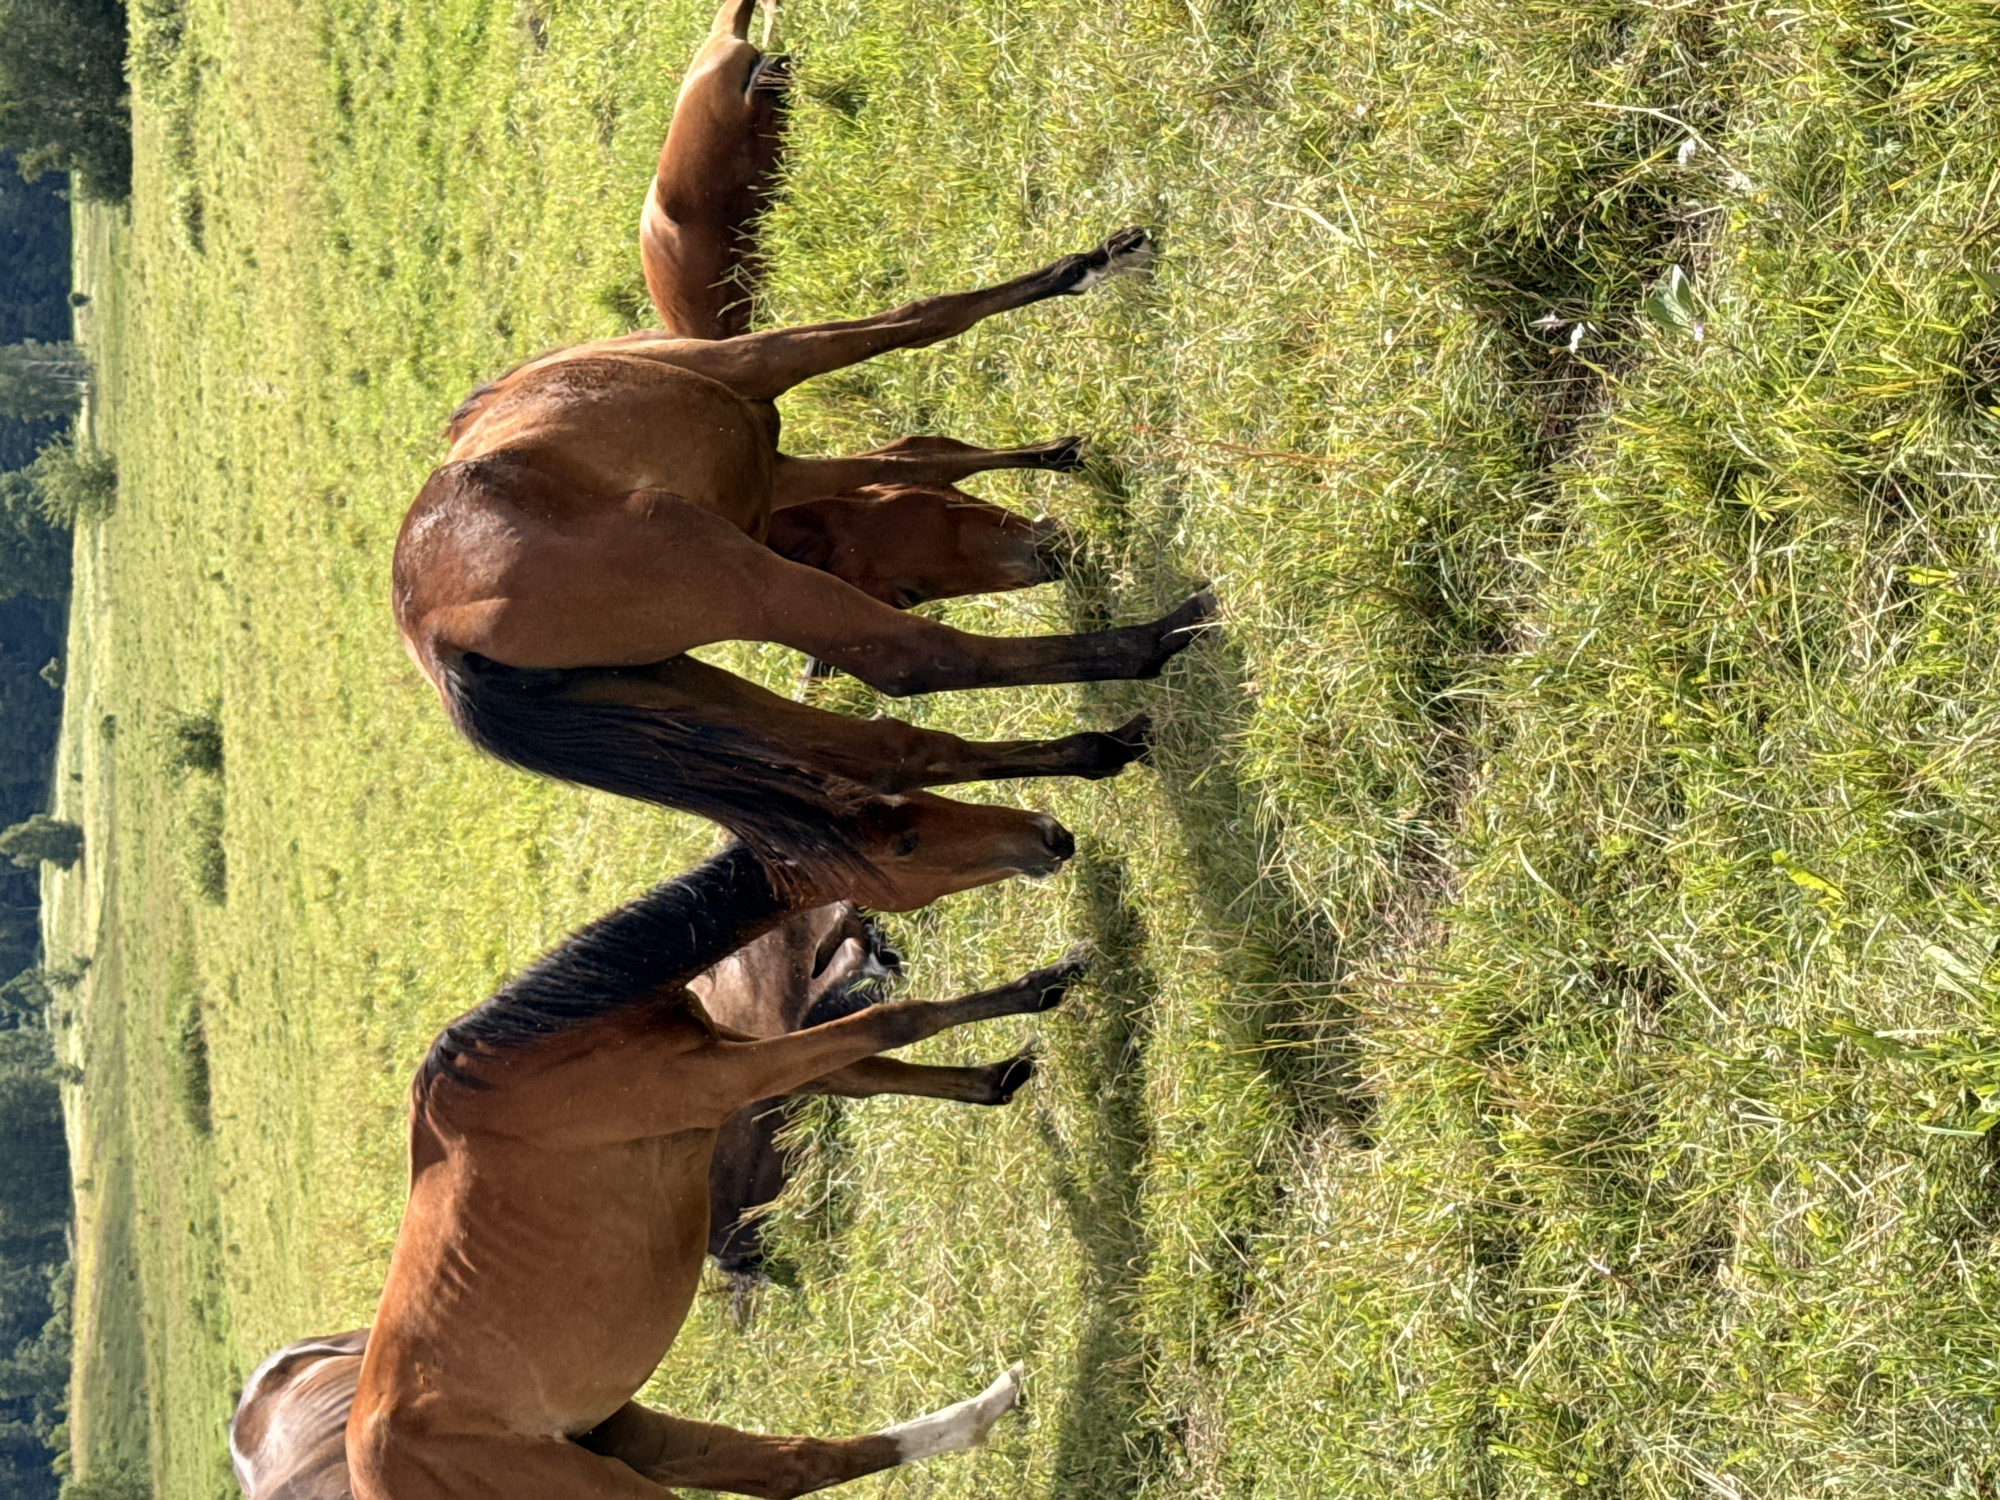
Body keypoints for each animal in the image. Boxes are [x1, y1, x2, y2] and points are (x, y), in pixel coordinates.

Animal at [394, 0, 1215, 909]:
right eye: (906, 585)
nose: (1053, 553)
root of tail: (432, 634)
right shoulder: (755, 364)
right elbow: (922, 320)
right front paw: (1091, 265)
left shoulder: (777, 469)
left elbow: (913, 463)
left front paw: (1062, 452)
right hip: (734, 576)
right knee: (914, 662)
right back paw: (1162, 636)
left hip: (675, 678)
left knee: (883, 749)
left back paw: (1102, 746)